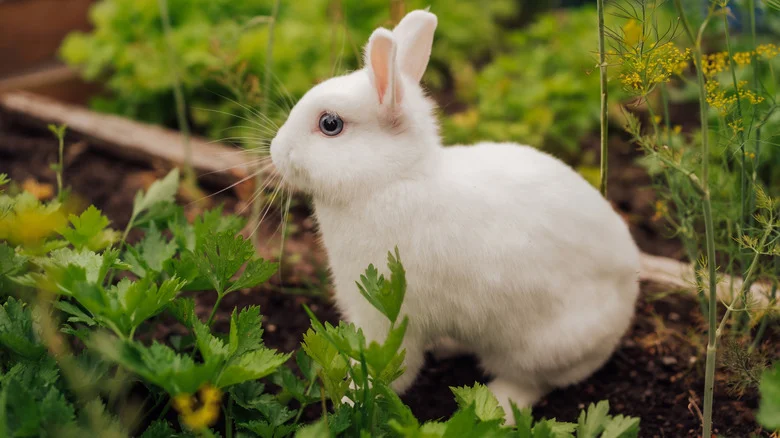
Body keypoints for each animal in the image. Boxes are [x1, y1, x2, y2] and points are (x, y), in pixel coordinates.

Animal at [270, 9, 641, 423]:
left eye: (330, 124)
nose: (275, 150)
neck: (393, 179)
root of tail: (624, 311)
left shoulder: (389, 318)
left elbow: (391, 370)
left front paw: (350, 404)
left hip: (541, 346)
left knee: (529, 384)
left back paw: (496, 405)